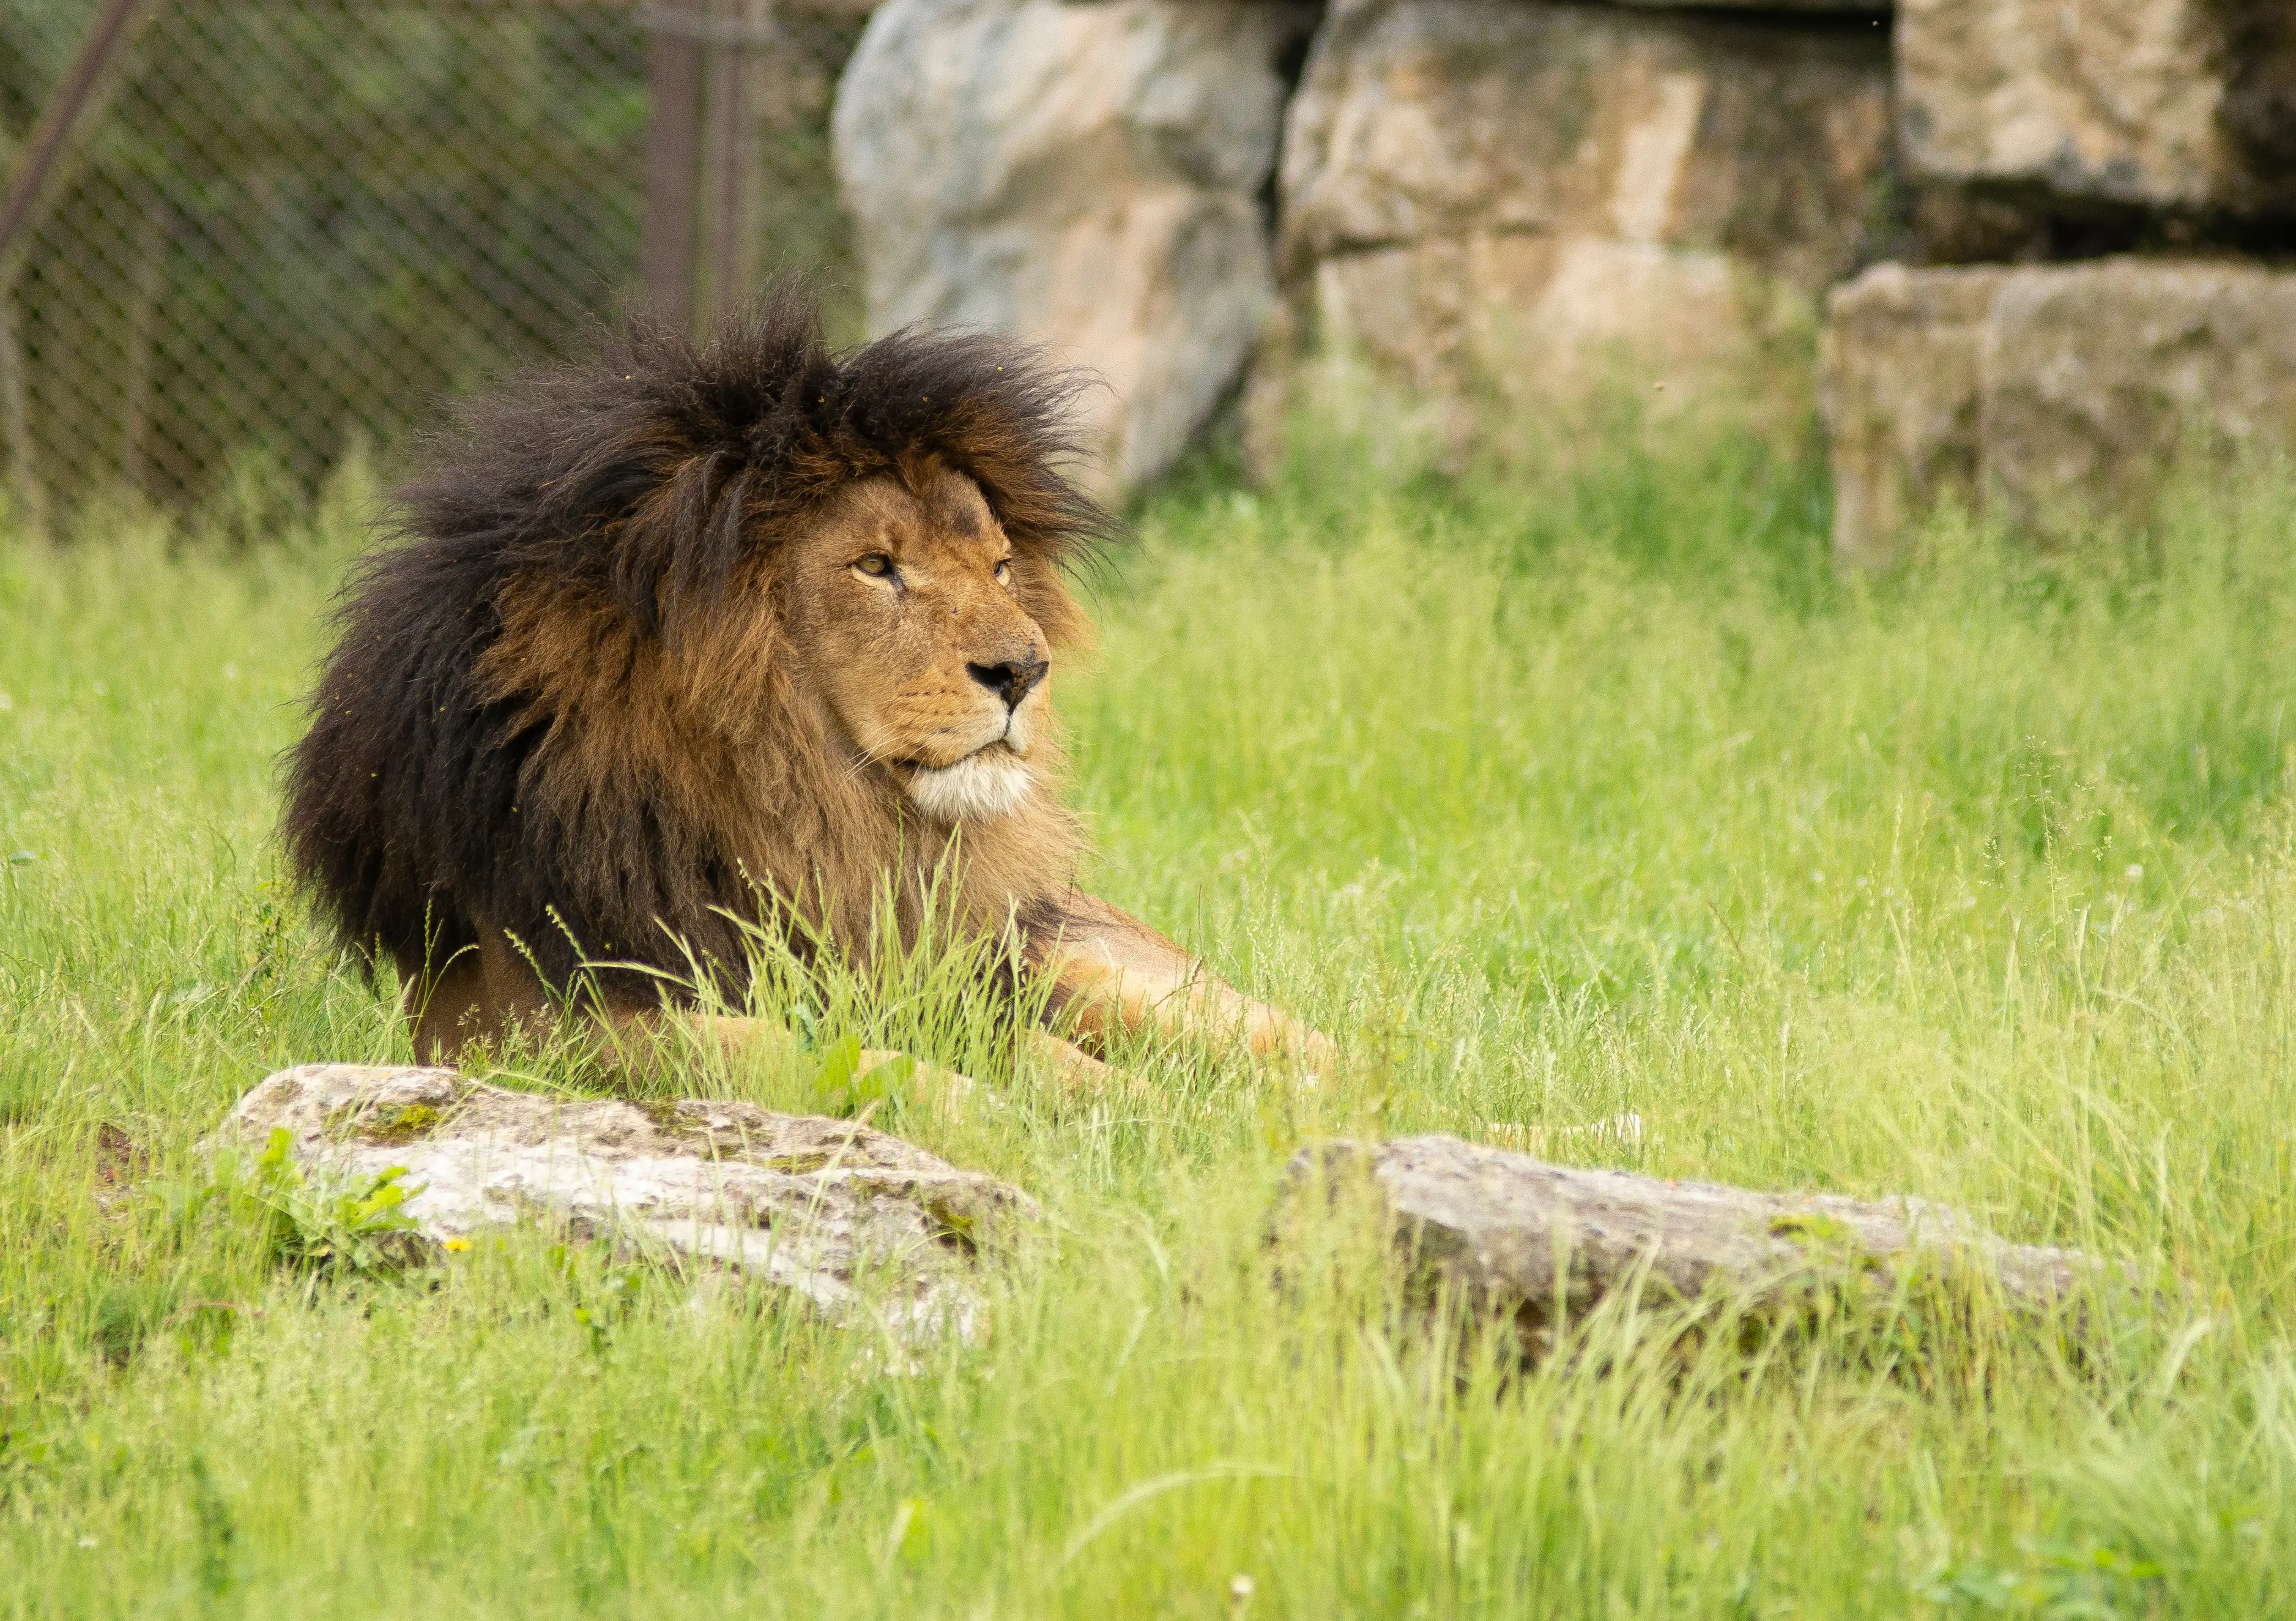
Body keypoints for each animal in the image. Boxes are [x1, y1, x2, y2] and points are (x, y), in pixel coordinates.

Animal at [282, 284, 1329, 1090]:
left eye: (998, 568)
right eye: (874, 566)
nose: (1025, 672)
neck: (796, 808)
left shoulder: (932, 971)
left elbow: (1026, 1051)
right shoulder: (521, 1019)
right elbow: (795, 1054)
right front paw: (996, 1110)